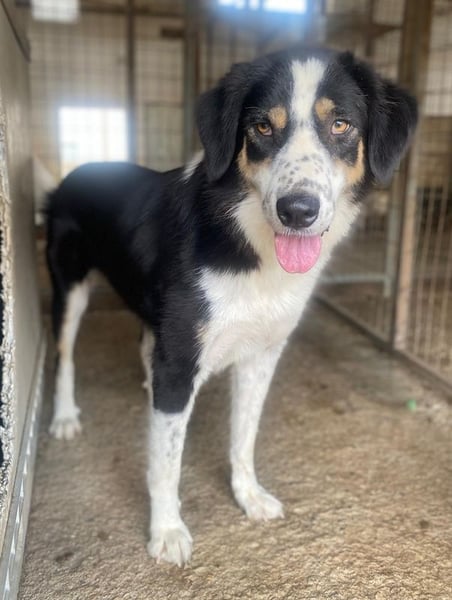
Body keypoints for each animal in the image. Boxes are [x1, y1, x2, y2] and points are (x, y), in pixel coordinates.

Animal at [46, 46, 417, 567]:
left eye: (341, 124)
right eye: (262, 127)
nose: (296, 211)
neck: (247, 242)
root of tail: (76, 171)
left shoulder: (261, 355)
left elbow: (244, 436)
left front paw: (248, 496)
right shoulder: (179, 360)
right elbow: (167, 462)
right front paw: (167, 530)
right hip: (71, 288)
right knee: (64, 357)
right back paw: (64, 417)